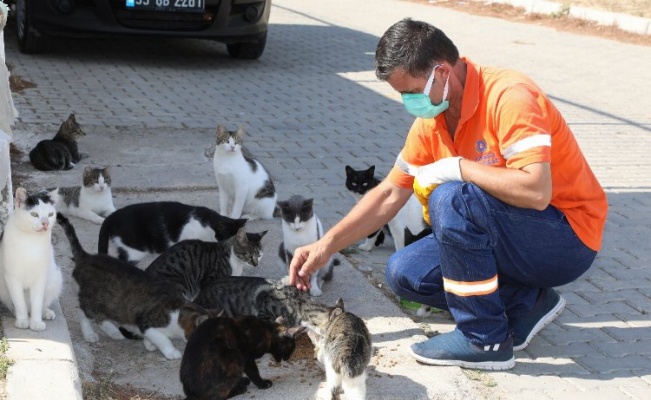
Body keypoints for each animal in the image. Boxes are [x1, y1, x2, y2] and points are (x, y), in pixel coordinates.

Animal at [0, 188, 63, 332]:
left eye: (50, 214)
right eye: (34, 214)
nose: (46, 223)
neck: (31, 241)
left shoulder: (40, 278)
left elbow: (37, 302)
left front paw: (36, 322)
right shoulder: (12, 277)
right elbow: (19, 302)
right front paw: (23, 320)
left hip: (55, 277)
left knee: (43, 303)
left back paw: (46, 312)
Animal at [56, 214, 219, 360]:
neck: (178, 312)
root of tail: (87, 257)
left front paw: (149, 345)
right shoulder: (146, 323)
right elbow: (162, 339)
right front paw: (171, 352)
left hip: (108, 303)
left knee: (101, 317)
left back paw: (114, 332)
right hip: (92, 301)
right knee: (83, 313)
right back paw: (89, 334)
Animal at [178, 316, 306, 400]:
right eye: (292, 348)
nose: (287, 358)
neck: (267, 330)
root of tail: (192, 394)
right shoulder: (246, 356)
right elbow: (253, 371)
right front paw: (263, 384)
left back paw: (242, 381)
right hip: (234, 355)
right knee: (218, 395)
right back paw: (240, 388)